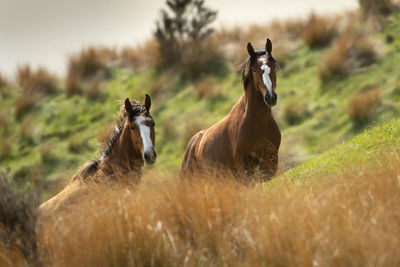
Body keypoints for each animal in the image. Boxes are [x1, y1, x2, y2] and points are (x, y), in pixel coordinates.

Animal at [181, 39, 282, 182]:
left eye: (272, 66)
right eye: (254, 70)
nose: (270, 97)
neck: (257, 123)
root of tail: (191, 147)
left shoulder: (270, 161)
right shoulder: (243, 166)